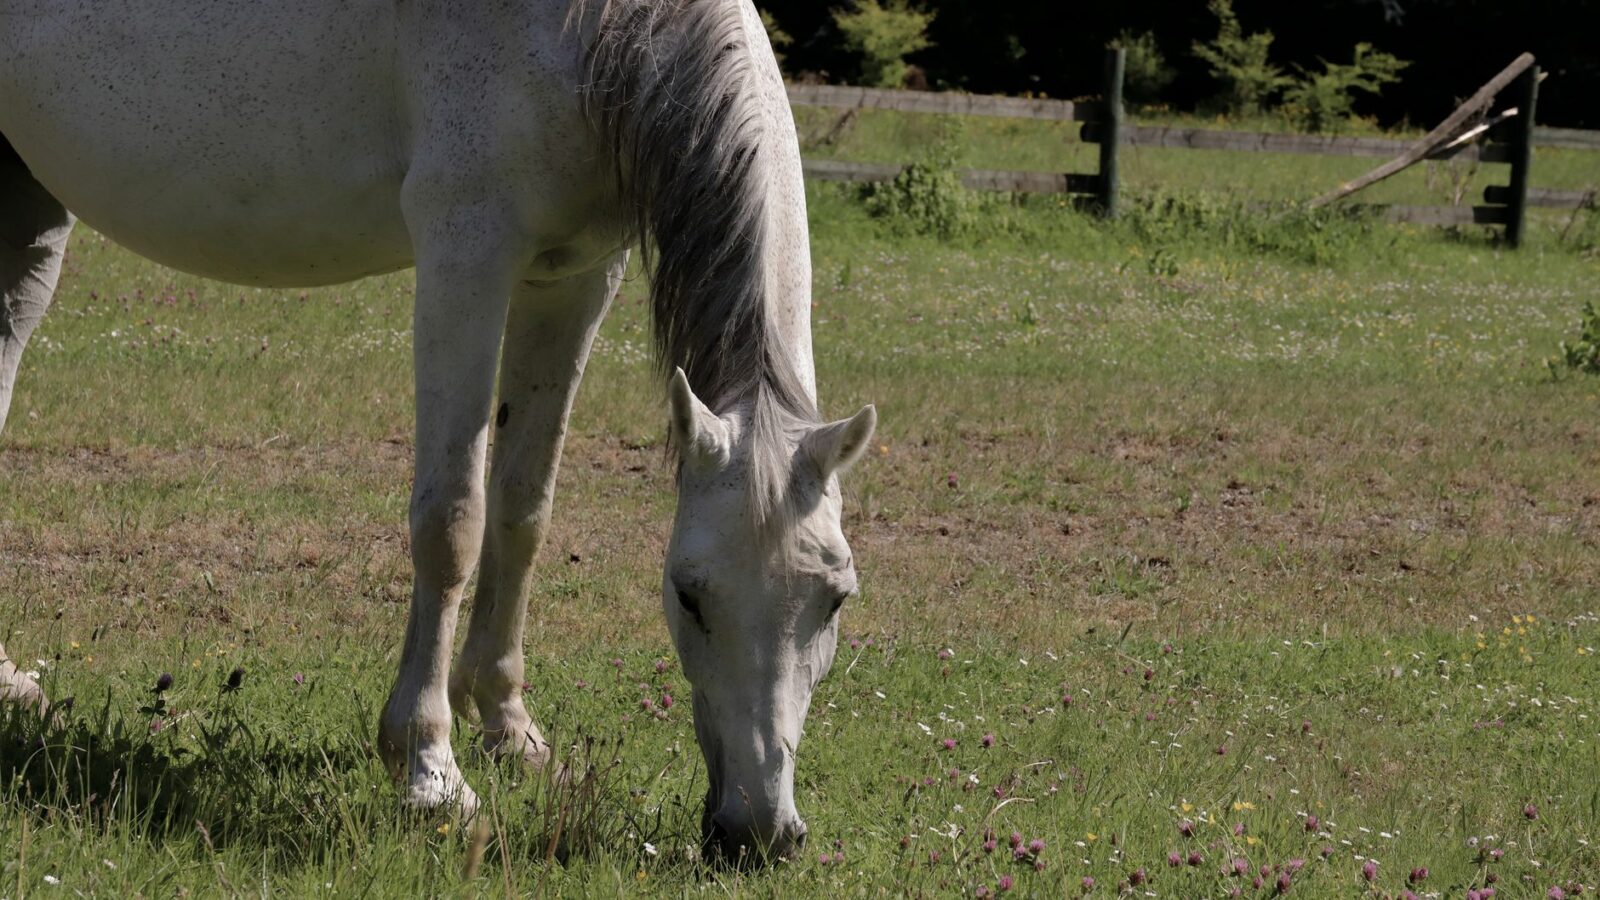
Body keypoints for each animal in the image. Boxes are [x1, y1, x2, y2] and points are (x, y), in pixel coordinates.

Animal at [0, 0, 876, 862]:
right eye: (688, 594)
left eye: (835, 599)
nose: (759, 833)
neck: (585, 28)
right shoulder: (467, 252)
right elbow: (452, 520)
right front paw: (431, 770)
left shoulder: (577, 274)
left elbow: (523, 510)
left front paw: (509, 730)